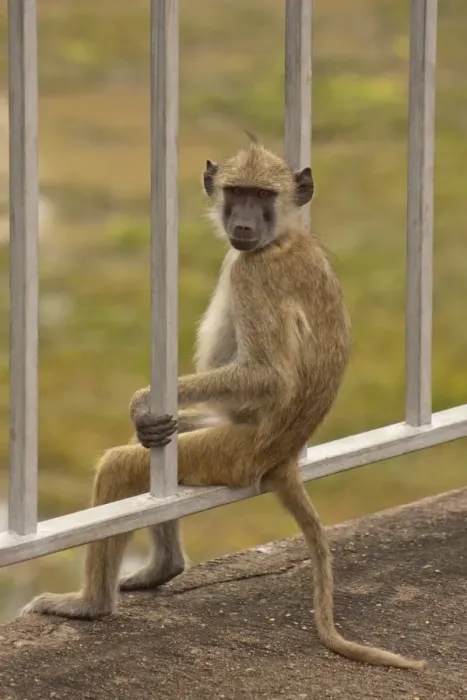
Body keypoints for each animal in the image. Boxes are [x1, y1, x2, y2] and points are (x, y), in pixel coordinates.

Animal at [21, 142, 425, 671]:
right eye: (237, 192)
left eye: (263, 195)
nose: (245, 224)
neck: (282, 238)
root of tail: (282, 458)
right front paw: (147, 415)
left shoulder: (253, 273)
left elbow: (269, 374)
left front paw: (142, 399)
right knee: (154, 447)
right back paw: (162, 565)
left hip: (232, 455)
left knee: (122, 465)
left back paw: (91, 605)